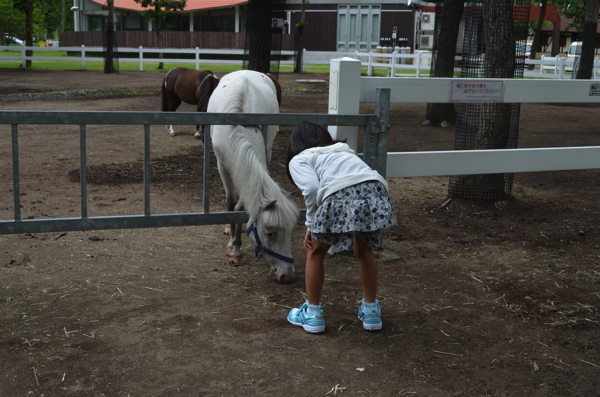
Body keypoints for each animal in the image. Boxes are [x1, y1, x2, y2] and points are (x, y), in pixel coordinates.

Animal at [207, 70, 298, 282]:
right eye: (270, 233)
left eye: (290, 231)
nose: (286, 275)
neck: (238, 124)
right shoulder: (222, 165)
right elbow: (231, 201)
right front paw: (233, 247)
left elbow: (241, 206)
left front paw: (236, 246)